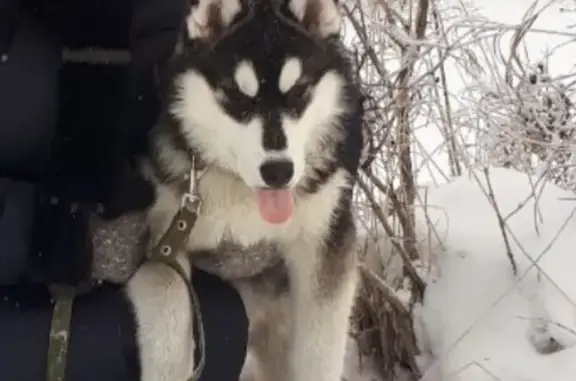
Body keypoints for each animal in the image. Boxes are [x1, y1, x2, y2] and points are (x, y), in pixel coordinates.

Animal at [142, 0, 362, 378]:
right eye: (236, 96)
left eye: (299, 92)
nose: (278, 171)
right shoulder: (161, 237)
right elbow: (168, 324)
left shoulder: (325, 242)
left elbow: (320, 351)